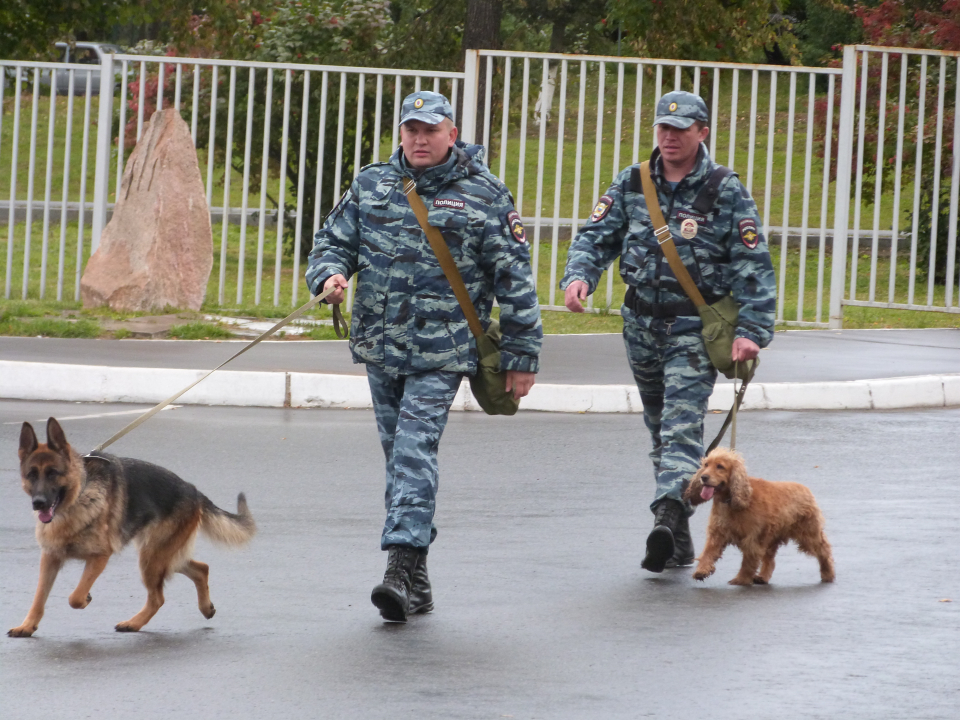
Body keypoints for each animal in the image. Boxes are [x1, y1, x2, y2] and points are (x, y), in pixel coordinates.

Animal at [8, 416, 255, 636]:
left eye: (53, 474)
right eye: (31, 475)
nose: (38, 503)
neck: (79, 497)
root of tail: (194, 490)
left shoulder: (100, 557)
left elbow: (75, 597)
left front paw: (85, 598)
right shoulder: (50, 558)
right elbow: (39, 597)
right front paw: (27, 626)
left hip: (152, 558)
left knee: (158, 598)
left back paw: (133, 624)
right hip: (161, 556)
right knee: (201, 569)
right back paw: (205, 607)